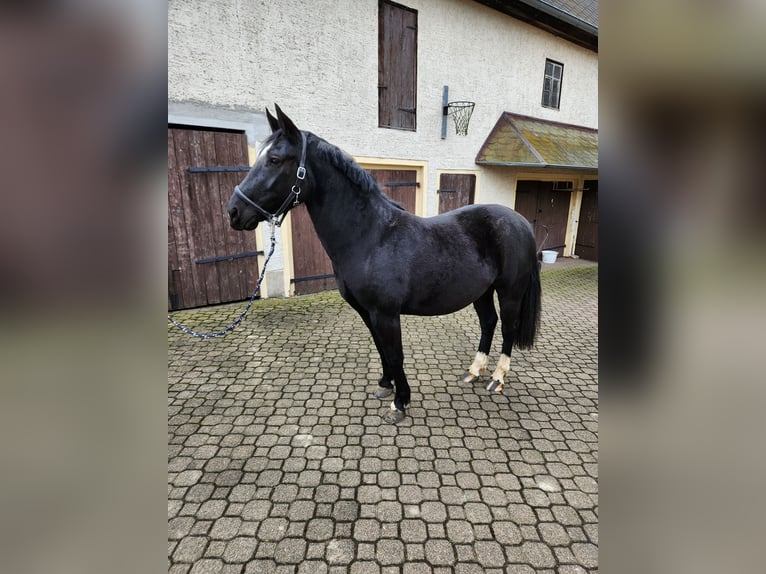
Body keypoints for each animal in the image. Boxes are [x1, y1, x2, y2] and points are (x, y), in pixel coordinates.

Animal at [225, 106, 544, 426]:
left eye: (275, 160)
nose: (234, 212)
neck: (370, 236)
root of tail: (521, 222)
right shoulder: (367, 312)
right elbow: (381, 349)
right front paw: (384, 385)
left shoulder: (386, 314)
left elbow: (395, 354)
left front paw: (400, 402)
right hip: (482, 292)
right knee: (488, 322)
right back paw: (474, 371)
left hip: (510, 292)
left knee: (508, 327)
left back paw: (497, 378)